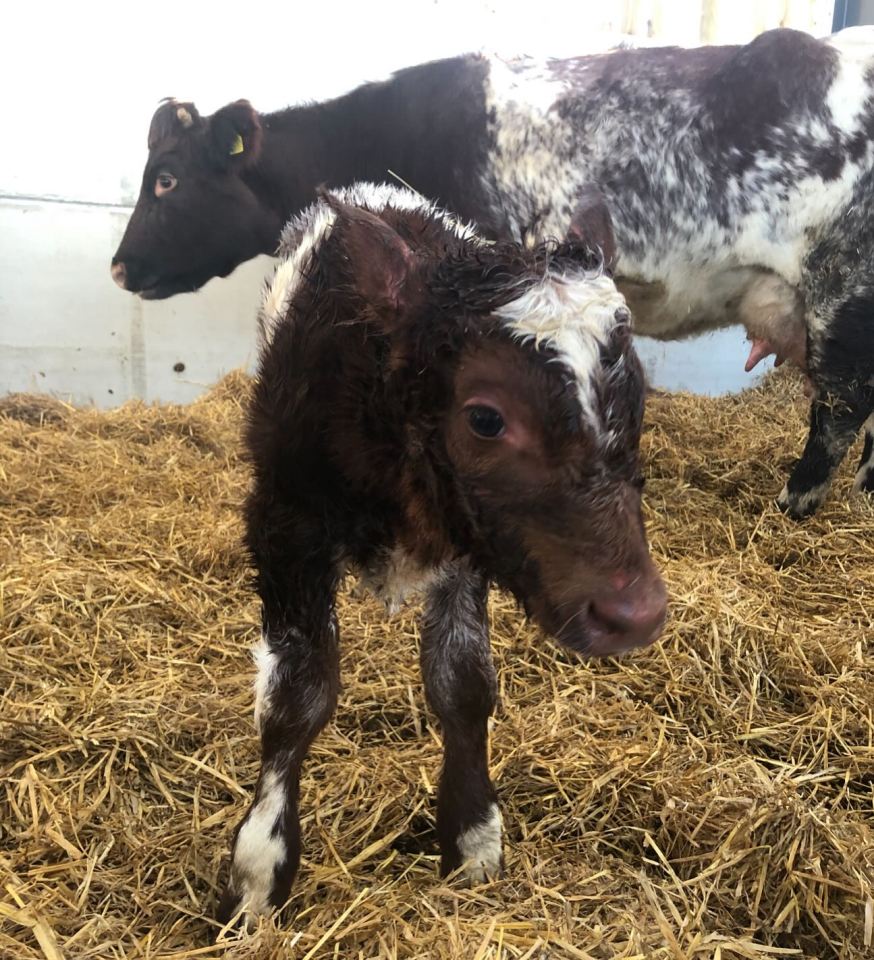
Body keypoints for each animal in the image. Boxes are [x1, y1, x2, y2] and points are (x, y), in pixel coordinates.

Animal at [217, 182, 667, 926]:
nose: (636, 613)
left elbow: (463, 682)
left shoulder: (463, 549)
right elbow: (296, 696)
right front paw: (258, 875)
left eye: (638, 395)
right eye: (485, 418)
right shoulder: (285, 525)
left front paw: (473, 836)